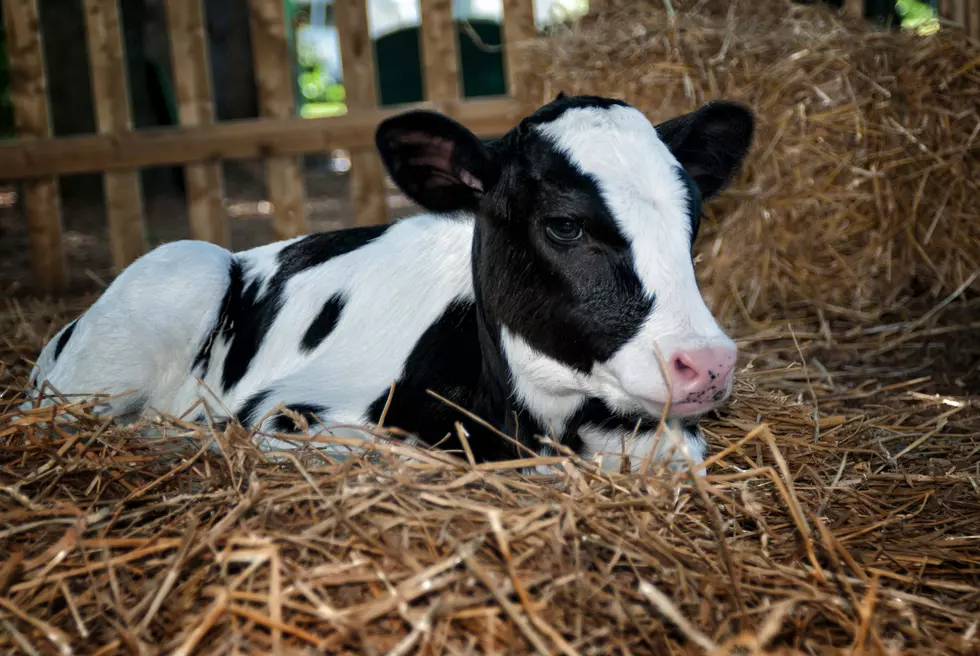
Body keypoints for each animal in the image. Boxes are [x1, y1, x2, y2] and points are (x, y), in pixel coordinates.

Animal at [26, 92, 756, 472]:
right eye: (565, 225)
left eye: (692, 218)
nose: (709, 363)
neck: (532, 422)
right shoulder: (288, 415)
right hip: (170, 283)